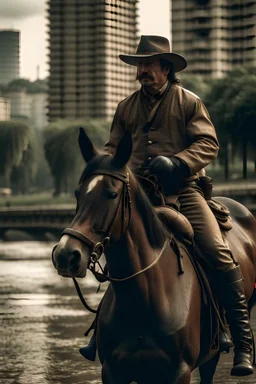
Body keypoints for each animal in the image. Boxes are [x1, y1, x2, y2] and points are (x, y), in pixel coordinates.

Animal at [51, 130, 256, 384]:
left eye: (112, 194)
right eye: (78, 193)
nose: (66, 254)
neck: (144, 296)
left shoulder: (179, 371)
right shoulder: (113, 371)